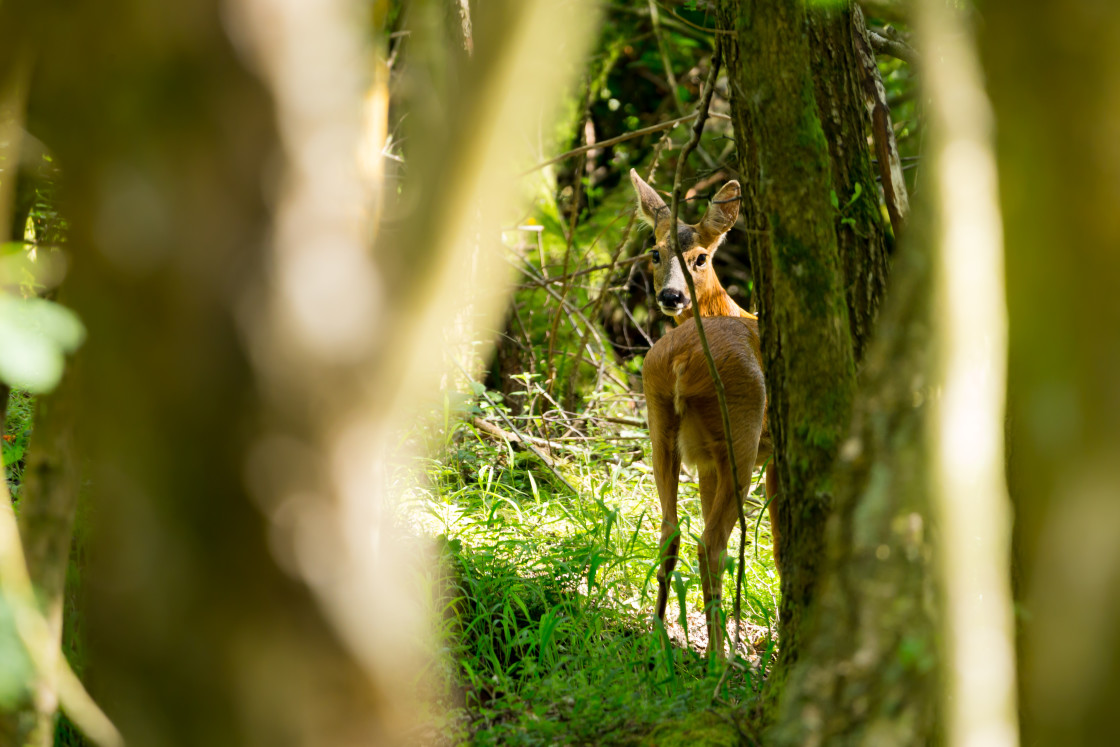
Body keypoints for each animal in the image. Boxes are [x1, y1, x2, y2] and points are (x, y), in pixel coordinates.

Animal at [636, 167, 775, 654]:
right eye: (655, 252)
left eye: (700, 258)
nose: (672, 296)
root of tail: (682, 359)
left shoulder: (706, 461)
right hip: (742, 432)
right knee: (711, 545)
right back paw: (721, 657)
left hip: (661, 424)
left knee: (670, 531)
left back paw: (658, 637)